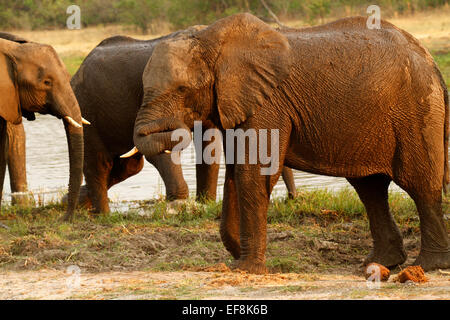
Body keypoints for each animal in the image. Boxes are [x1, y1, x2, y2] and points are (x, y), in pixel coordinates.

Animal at [69, 26, 296, 214]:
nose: (291, 199)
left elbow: (209, 144)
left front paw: (205, 203)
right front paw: (179, 205)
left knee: (129, 165)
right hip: (85, 106)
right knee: (99, 162)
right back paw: (102, 215)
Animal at [127, 13, 450, 272]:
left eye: (182, 89)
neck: (209, 40)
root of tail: (430, 60)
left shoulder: (268, 103)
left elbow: (252, 173)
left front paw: (246, 269)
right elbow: (235, 174)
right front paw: (238, 257)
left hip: (416, 111)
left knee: (419, 184)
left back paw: (427, 266)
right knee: (370, 189)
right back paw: (381, 263)